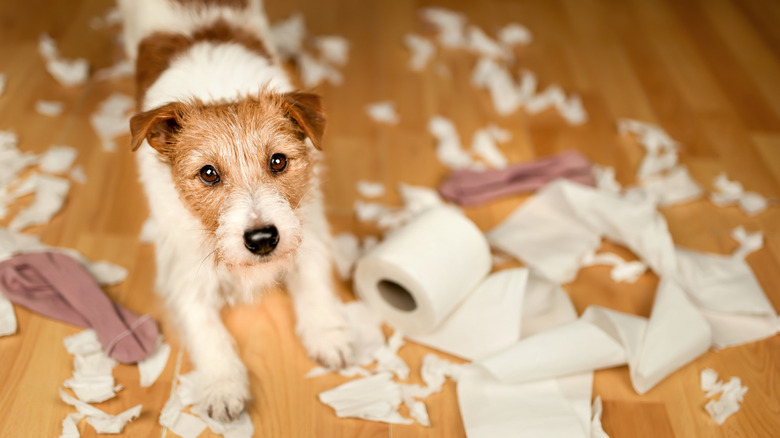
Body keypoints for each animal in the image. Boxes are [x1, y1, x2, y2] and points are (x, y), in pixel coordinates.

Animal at [119, 0, 354, 422]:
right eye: (208, 173)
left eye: (278, 161)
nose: (262, 239)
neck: (220, 92)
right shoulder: (184, 269)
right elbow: (207, 330)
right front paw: (222, 385)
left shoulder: (306, 226)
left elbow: (313, 282)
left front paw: (328, 333)